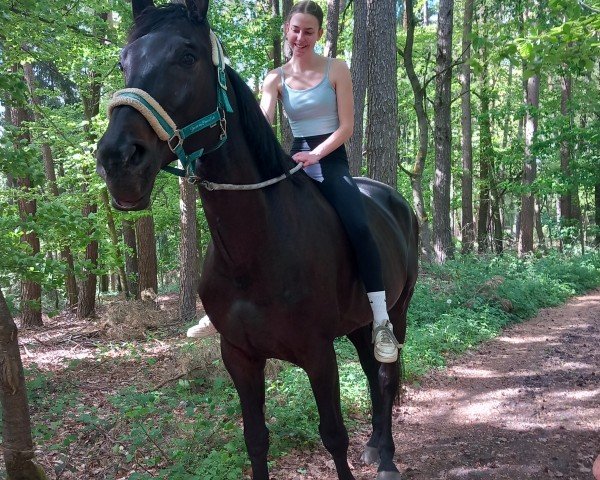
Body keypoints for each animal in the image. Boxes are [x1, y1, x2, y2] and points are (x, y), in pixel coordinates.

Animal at [96, 1, 420, 478]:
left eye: (187, 56)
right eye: (124, 62)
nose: (118, 160)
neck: (254, 251)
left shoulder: (318, 353)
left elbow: (333, 435)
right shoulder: (239, 357)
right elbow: (256, 439)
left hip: (395, 312)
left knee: (385, 374)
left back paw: (388, 460)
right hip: (358, 325)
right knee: (372, 375)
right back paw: (376, 447)